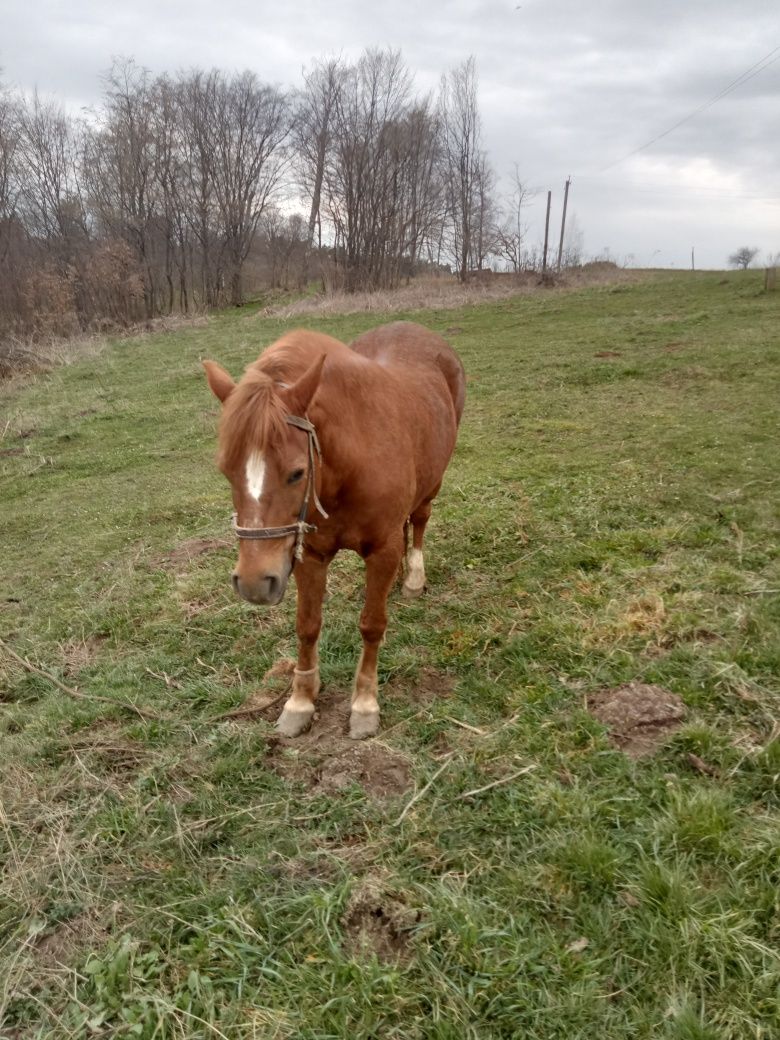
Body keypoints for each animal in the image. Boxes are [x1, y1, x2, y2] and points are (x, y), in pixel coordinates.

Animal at [204, 322, 467, 740]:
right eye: (225, 469)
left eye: (297, 472)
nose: (254, 583)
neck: (349, 467)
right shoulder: (309, 555)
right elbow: (307, 626)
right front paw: (300, 701)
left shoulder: (381, 550)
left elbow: (372, 625)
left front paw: (364, 704)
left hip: (433, 482)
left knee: (420, 520)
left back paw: (412, 578)